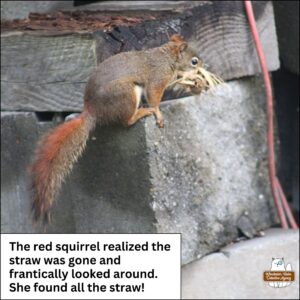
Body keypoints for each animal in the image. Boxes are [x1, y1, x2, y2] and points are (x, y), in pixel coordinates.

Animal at [31, 34, 204, 223]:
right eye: (194, 61)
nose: (202, 69)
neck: (167, 58)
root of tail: (93, 110)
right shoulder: (157, 78)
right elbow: (154, 96)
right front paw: (158, 112)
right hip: (126, 93)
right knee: (126, 121)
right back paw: (141, 112)